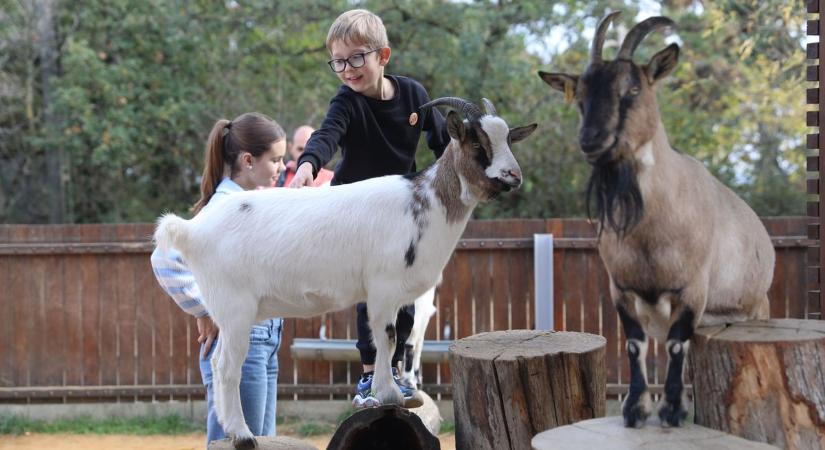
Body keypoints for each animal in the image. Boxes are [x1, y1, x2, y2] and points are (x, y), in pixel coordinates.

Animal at [154, 96, 536, 448]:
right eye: (477, 143)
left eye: (508, 139)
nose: (514, 176)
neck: (425, 203)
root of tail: (191, 230)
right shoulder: (382, 287)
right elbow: (387, 338)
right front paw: (388, 395)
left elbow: (397, 339)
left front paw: (396, 392)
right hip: (234, 308)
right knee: (225, 367)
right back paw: (242, 435)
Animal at [536, 12, 776, 428]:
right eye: (580, 97)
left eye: (632, 89)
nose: (591, 140)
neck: (650, 233)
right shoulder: (622, 290)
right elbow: (635, 345)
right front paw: (635, 409)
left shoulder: (692, 290)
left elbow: (678, 345)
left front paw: (673, 411)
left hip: (756, 310)